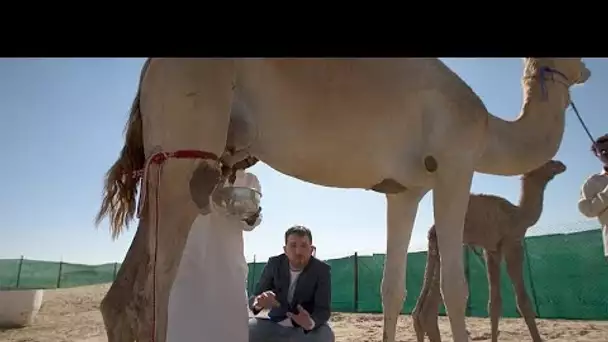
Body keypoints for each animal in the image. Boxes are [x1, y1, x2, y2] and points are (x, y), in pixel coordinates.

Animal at [410, 159, 568, 340]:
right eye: (548, 162)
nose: (561, 165)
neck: (518, 215)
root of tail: (432, 230)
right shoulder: (512, 243)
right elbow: (523, 301)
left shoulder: (492, 250)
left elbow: (494, 303)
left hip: (437, 251)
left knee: (420, 311)